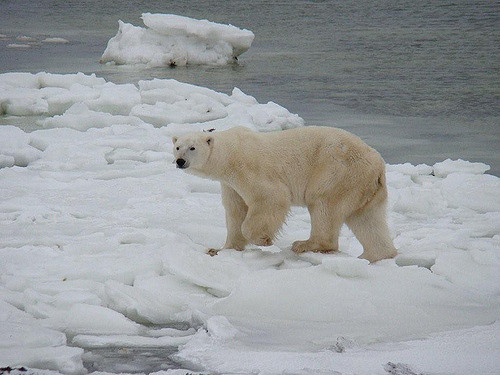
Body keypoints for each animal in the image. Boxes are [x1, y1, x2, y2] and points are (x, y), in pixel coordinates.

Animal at [173, 125, 398, 262]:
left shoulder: (249, 169)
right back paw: (374, 256)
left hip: (338, 172)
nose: (180, 161)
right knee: (367, 220)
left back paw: (304, 244)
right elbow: (235, 211)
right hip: (364, 186)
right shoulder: (230, 184)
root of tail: (378, 164)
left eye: (192, 148)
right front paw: (220, 249)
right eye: (177, 147)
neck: (230, 153)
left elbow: (271, 197)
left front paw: (263, 240)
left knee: (323, 204)